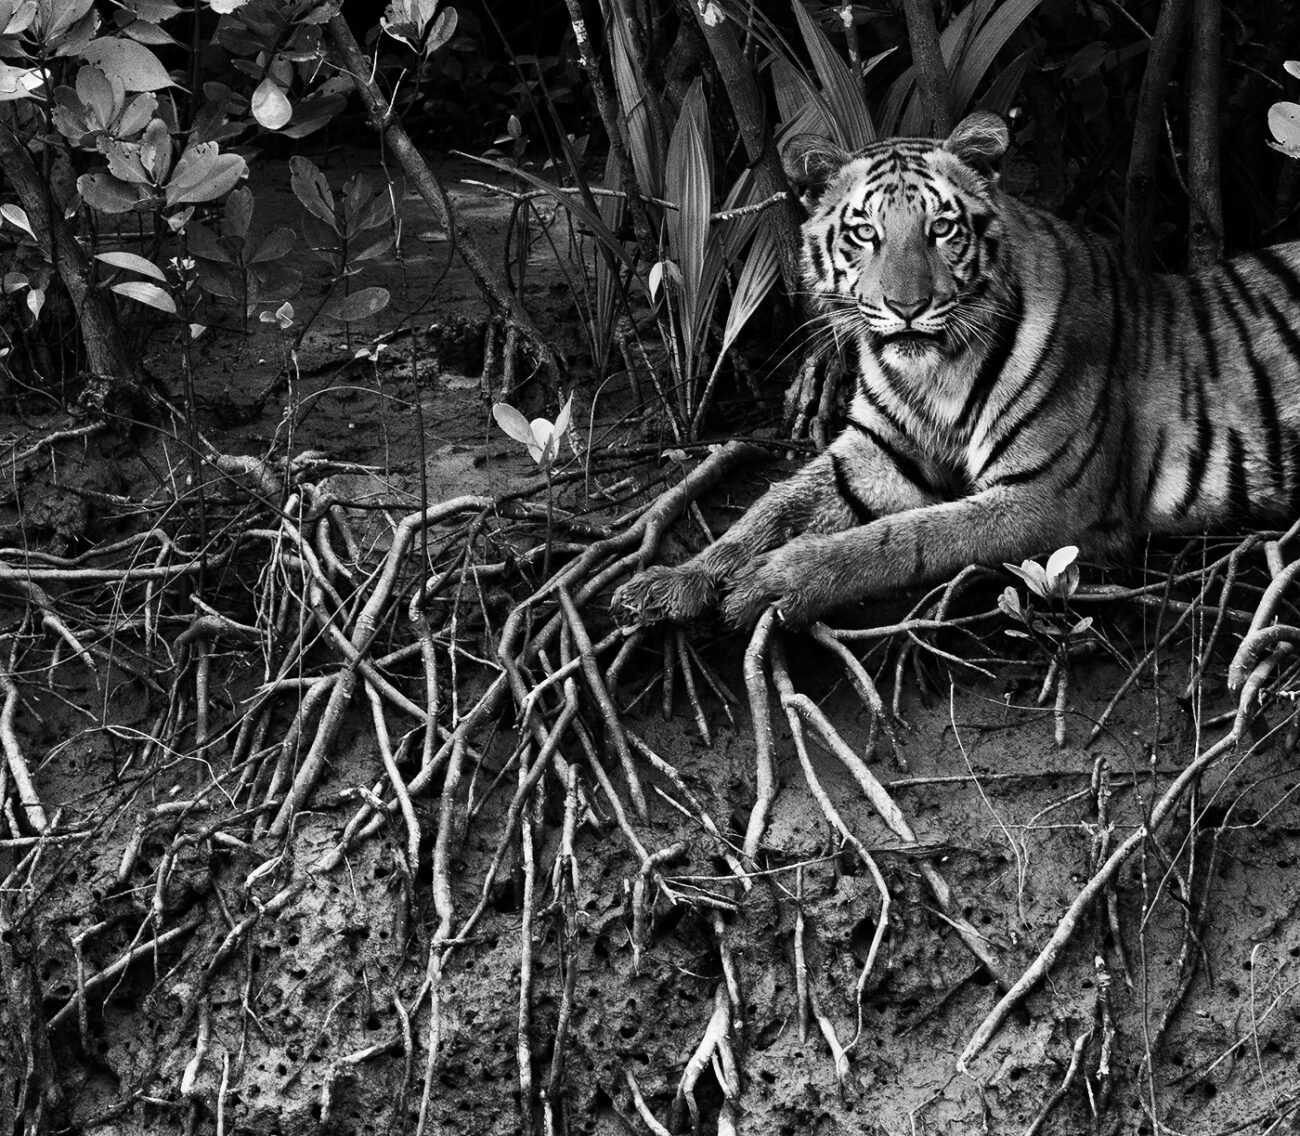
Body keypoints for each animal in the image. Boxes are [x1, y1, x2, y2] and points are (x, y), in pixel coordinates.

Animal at [611, 110, 1300, 630]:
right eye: (864, 232)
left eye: (941, 228)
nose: (907, 307)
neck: (933, 376)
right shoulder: (877, 451)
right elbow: (769, 506)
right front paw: (672, 581)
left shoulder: (1047, 496)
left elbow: (906, 537)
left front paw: (777, 580)